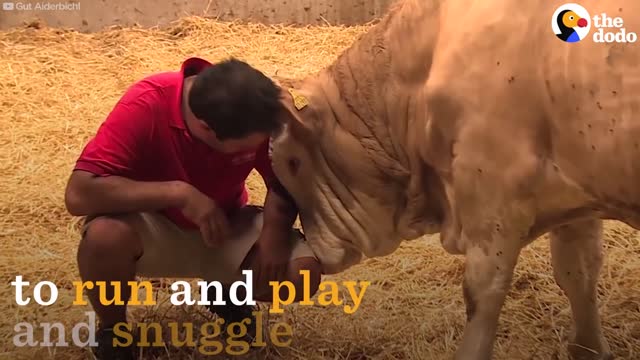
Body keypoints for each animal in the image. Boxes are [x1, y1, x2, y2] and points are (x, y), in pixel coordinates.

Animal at [268, 0, 636, 360]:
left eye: (292, 162)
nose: (313, 253)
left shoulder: (492, 196)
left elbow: (482, 292)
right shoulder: (576, 196)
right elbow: (578, 272)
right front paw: (589, 348)